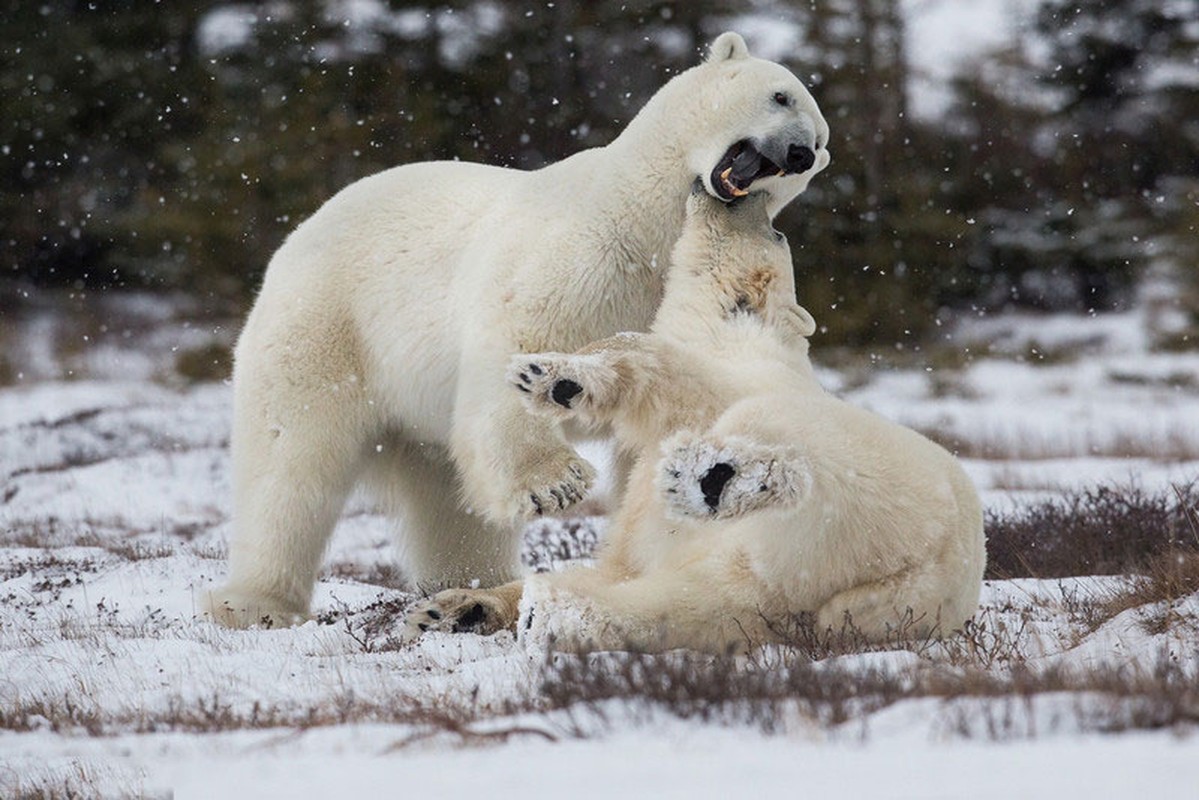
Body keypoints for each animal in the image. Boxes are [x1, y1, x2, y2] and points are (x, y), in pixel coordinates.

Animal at [206, 32, 829, 633]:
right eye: (780, 96)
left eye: (820, 147)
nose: (799, 152)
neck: (646, 225)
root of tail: (299, 231)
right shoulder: (582, 254)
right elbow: (523, 339)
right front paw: (555, 484)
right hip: (326, 325)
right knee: (290, 463)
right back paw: (255, 604)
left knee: (449, 498)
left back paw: (466, 589)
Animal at [402, 190, 983, 652]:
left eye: (776, 229)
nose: (746, 195)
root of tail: (930, 572)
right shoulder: (645, 536)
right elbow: (626, 569)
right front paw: (450, 609)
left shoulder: (740, 379)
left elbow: (662, 367)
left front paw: (552, 377)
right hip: (804, 575)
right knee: (706, 602)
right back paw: (534, 613)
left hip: (865, 484)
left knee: (801, 472)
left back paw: (715, 479)